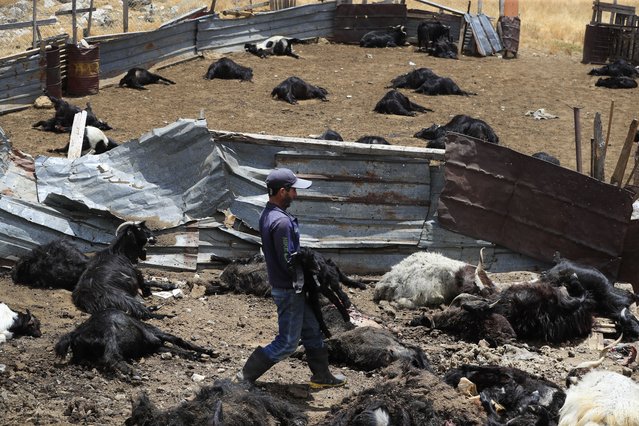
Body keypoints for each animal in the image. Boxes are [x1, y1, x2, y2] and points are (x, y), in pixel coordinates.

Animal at [55, 310, 215, 376]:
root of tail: (75, 334)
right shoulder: (157, 335)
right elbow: (179, 340)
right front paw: (208, 352)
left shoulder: (156, 347)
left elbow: (177, 349)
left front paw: (199, 355)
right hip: (110, 334)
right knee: (110, 357)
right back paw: (134, 374)